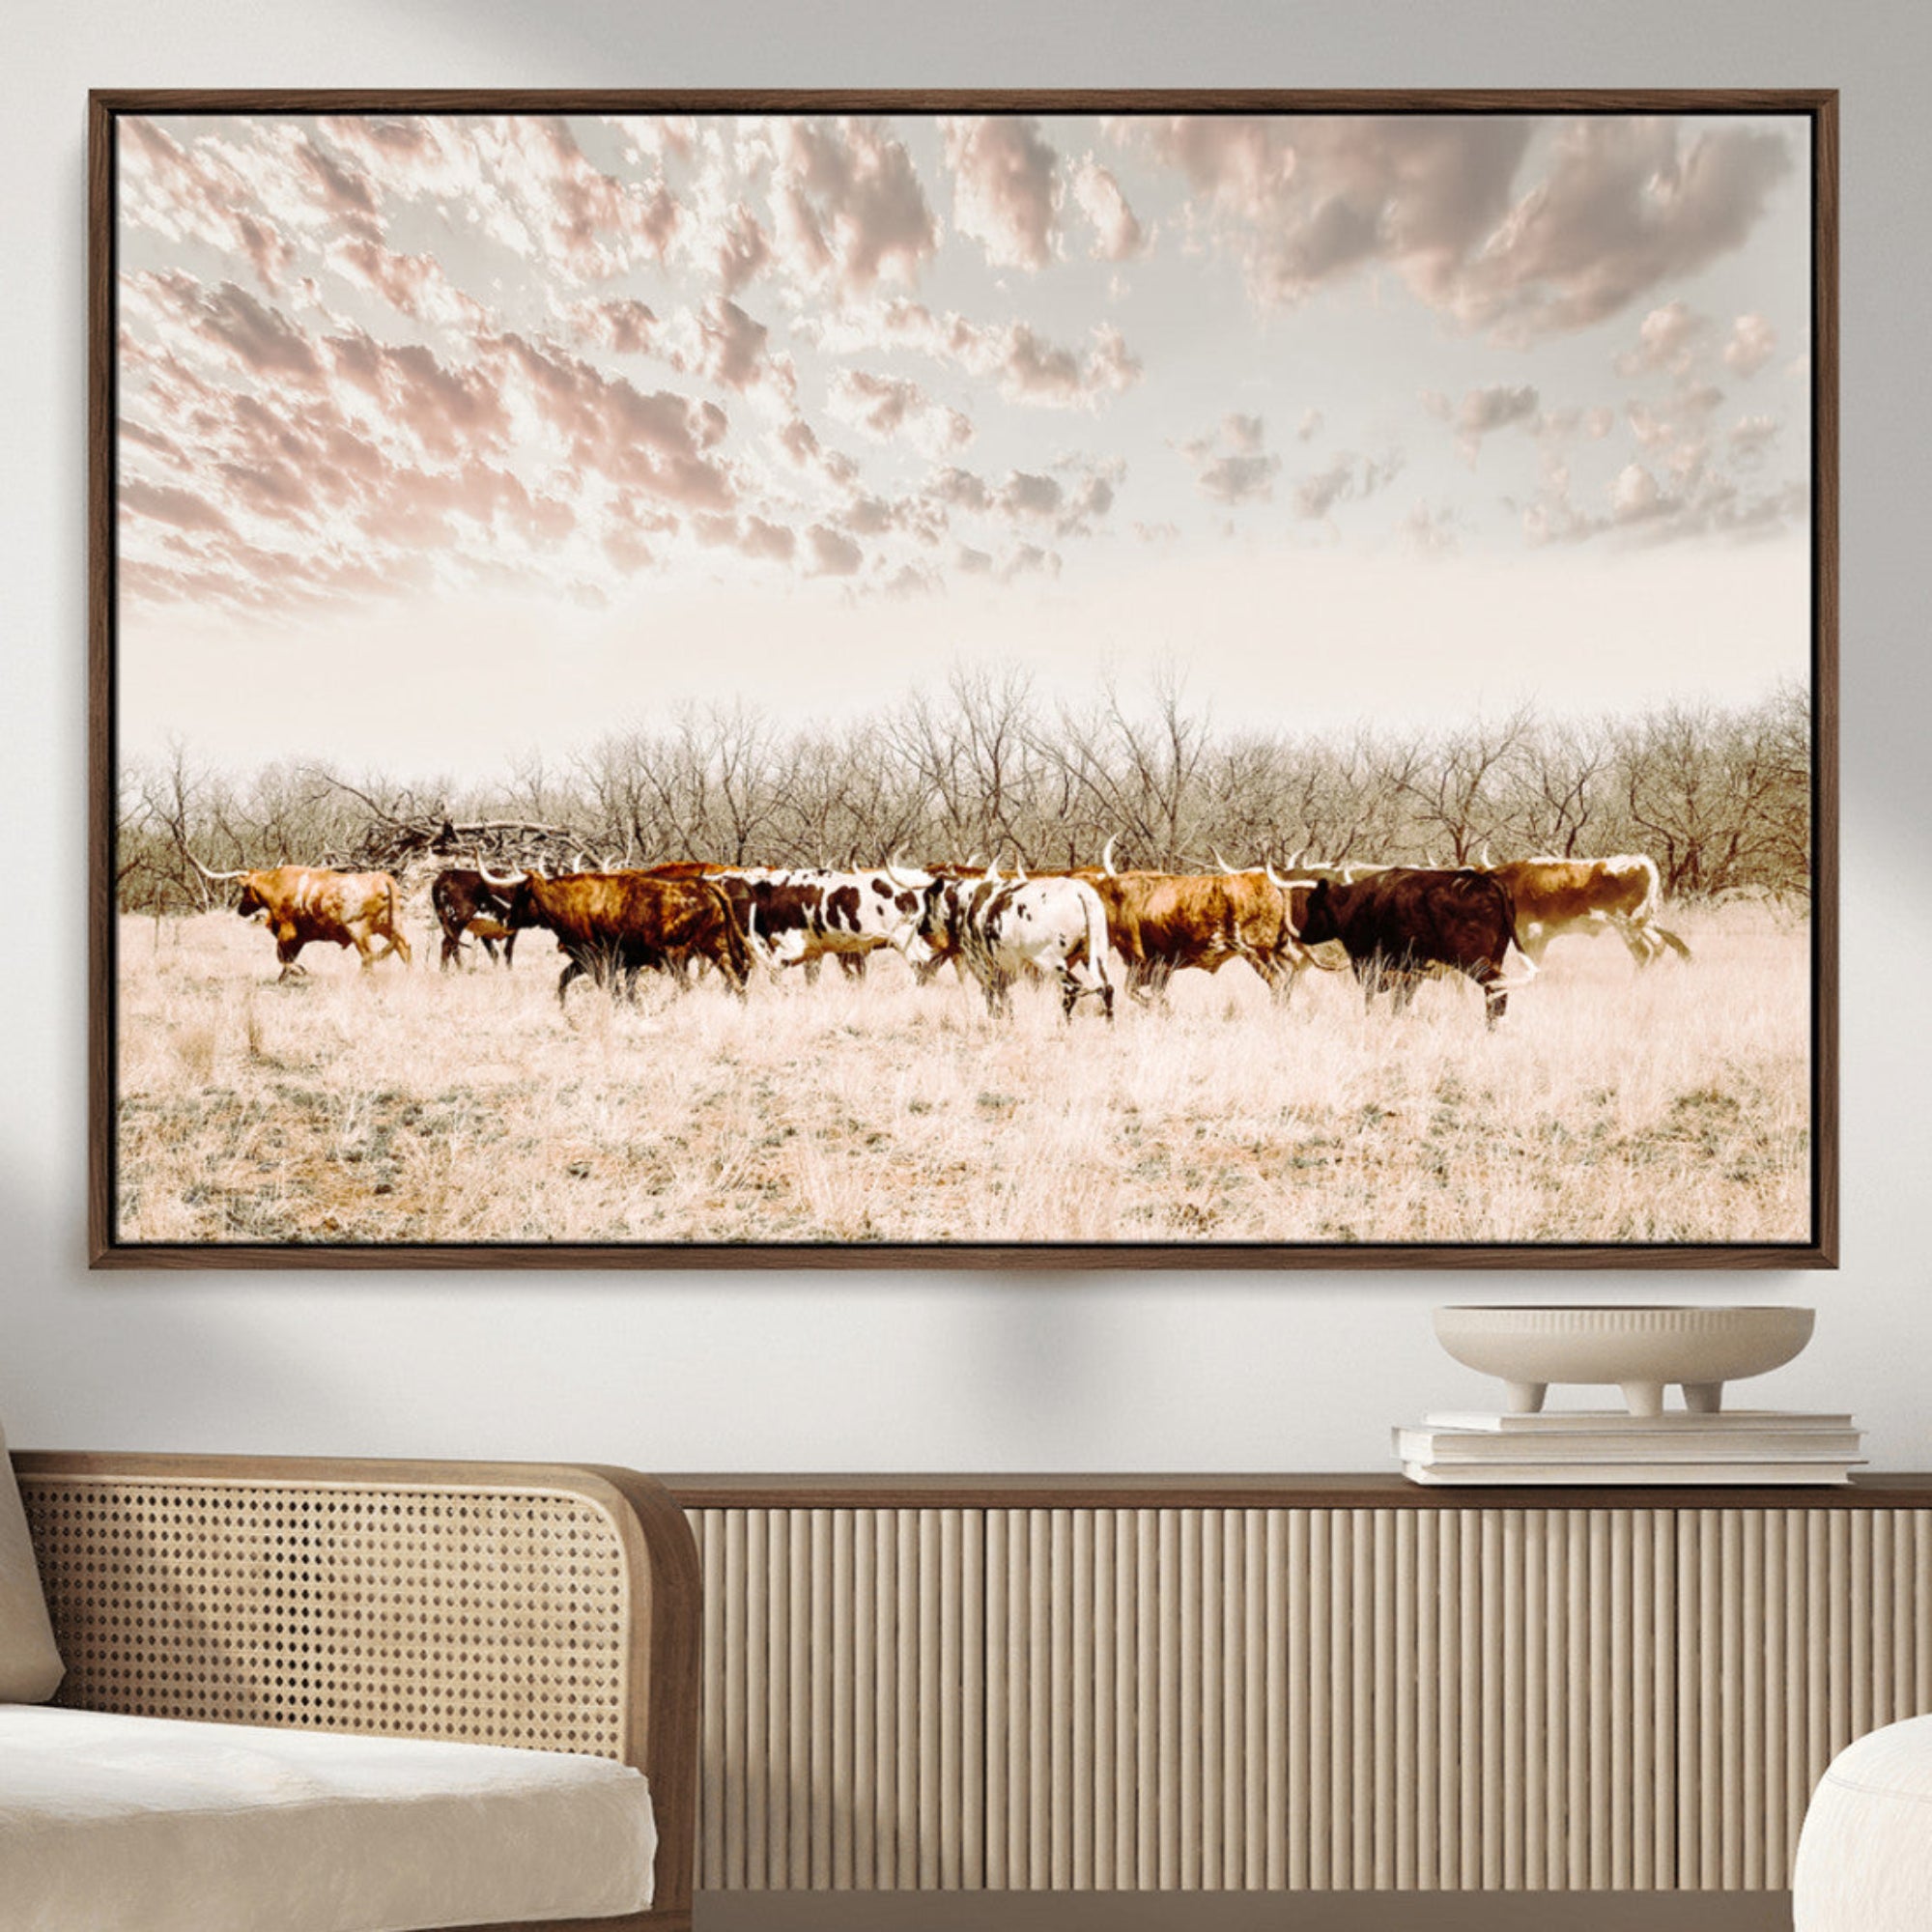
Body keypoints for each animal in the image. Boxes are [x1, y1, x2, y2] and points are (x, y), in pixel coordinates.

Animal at [189, 860, 411, 982]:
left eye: (245, 889)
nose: (241, 910)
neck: (276, 884)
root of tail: (382, 877)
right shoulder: (299, 938)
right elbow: (287, 958)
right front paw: (284, 978)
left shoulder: (288, 933)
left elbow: (283, 957)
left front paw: (299, 971)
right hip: (391, 926)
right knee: (404, 948)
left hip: (358, 930)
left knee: (368, 956)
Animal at [477, 862, 752, 1004]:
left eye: (520, 893)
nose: (508, 918)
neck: (568, 900)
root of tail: (704, 885)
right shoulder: (587, 961)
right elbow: (564, 980)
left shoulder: (595, 960)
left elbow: (612, 991)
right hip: (715, 949)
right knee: (735, 979)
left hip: (676, 956)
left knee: (687, 986)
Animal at [905, 872, 1115, 1021]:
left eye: (927, 901)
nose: (920, 927)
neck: (965, 903)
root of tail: (1079, 890)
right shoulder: (1001, 972)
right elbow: (1005, 1000)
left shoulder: (983, 966)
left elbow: (993, 1001)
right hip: (1095, 958)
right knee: (1107, 989)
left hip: (1051, 962)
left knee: (1073, 989)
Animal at [1293, 867, 1530, 1029]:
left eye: (1313, 905)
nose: (1303, 934)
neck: (1358, 903)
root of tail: (1487, 881)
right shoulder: (1409, 972)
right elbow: (1401, 1001)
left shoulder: (1375, 967)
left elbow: (1375, 1000)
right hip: (1494, 959)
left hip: (1476, 963)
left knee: (1496, 987)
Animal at [1476, 853, 1692, 967]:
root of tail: (1641, 860)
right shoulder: (1539, 936)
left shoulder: (1532, 932)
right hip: (1644, 922)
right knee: (1662, 943)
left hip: (1627, 924)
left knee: (1643, 952)